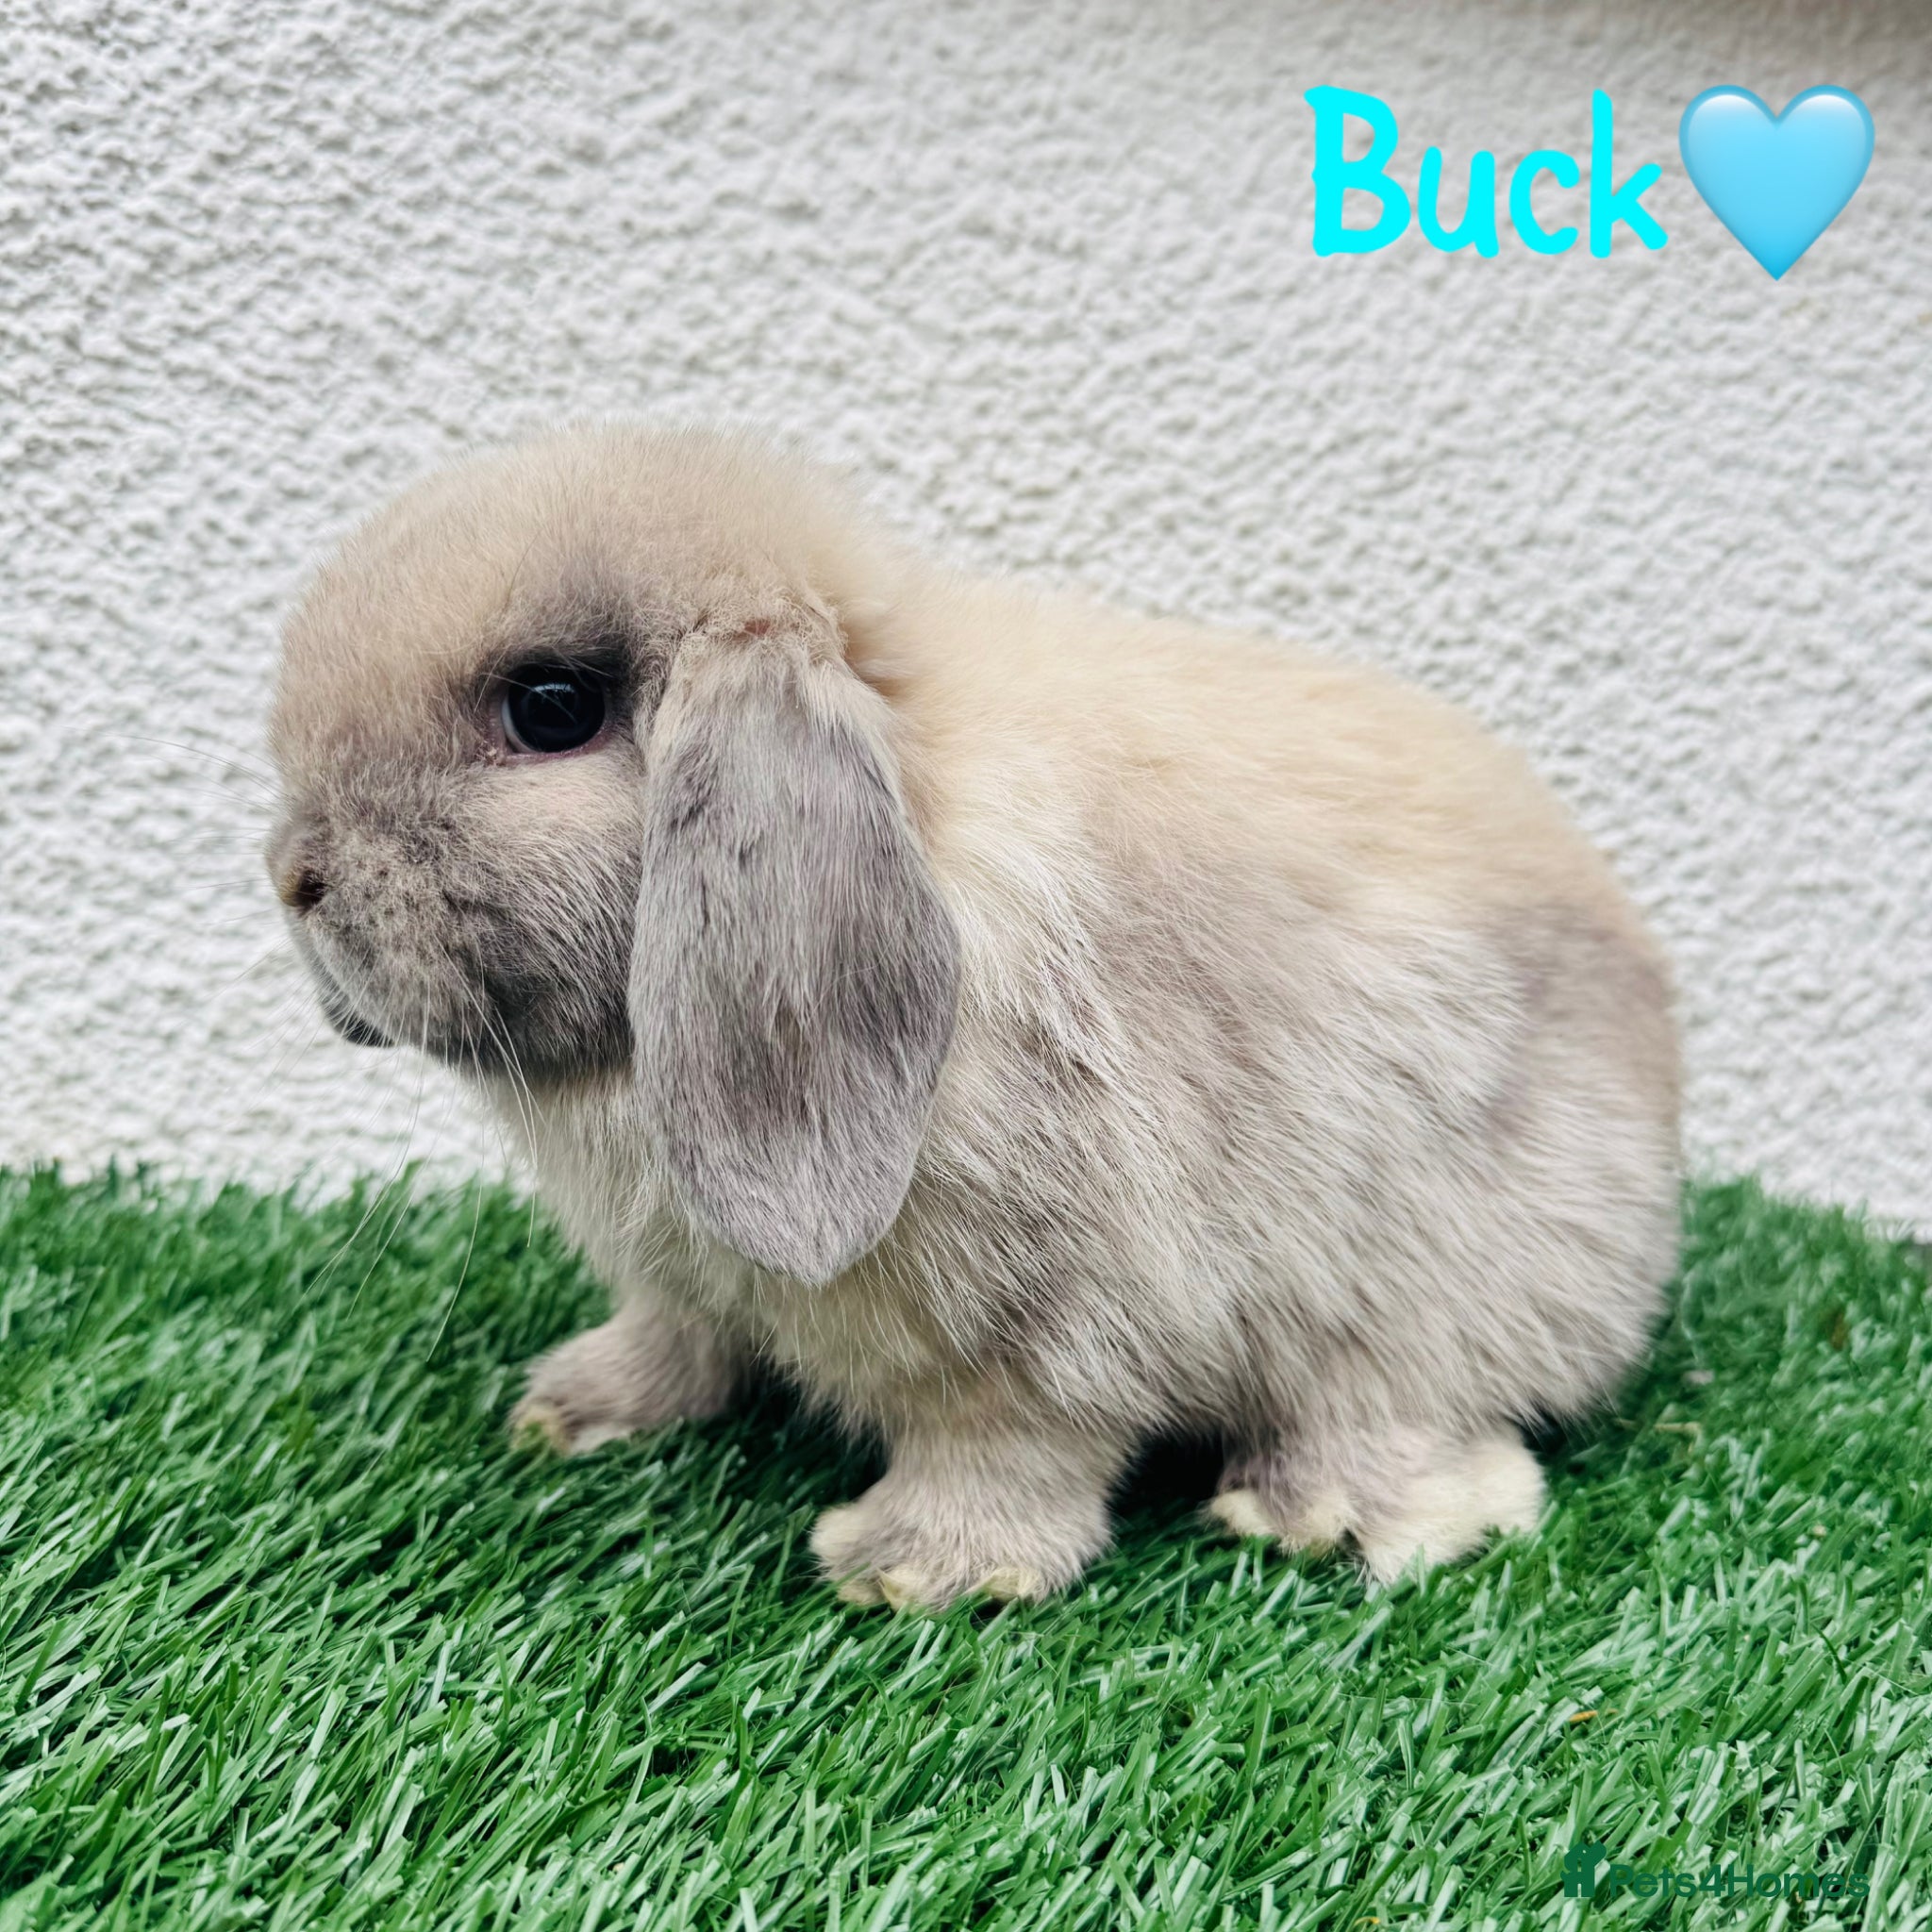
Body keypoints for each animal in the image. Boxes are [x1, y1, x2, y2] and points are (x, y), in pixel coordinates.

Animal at [266, 422, 1680, 1608]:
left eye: (551, 707)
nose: (293, 875)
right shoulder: (683, 1279)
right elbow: (678, 1336)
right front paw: (571, 1408)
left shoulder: (1055, 1314)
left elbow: (1008, 1441)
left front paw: (908, 1569)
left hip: (1422, 1286)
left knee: (1430, 1422)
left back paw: (1310, 1509)